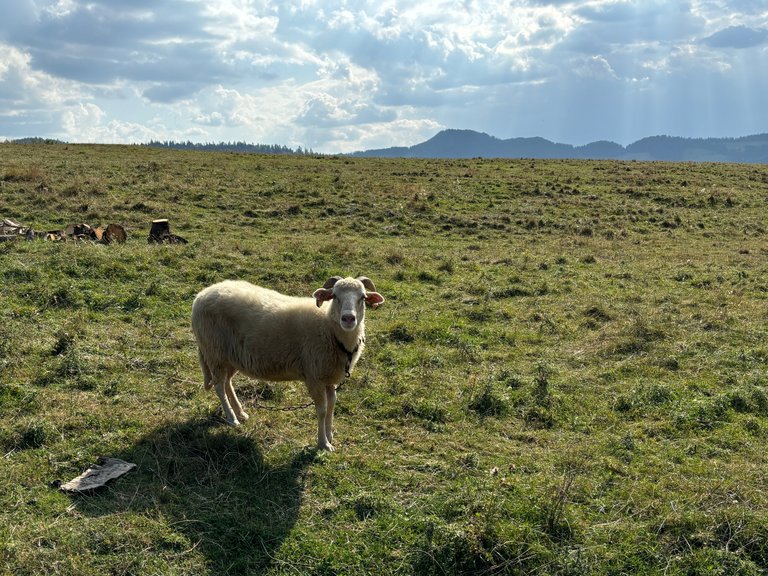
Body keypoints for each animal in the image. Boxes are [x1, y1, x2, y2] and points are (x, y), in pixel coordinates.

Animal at [192, 274, 384, 450]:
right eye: (335, 296)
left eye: (363, 297)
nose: (348, 318)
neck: (329, 329)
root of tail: (201, 296)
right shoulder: (314, 376)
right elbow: (322, 410)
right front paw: (323, 444)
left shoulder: (329, 377)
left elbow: (332, 405)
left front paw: (329, 435)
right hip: (214, 352)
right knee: (219, 385)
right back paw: (232, 418)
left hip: (230, 357)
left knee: (227, 382)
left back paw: (240, 413)